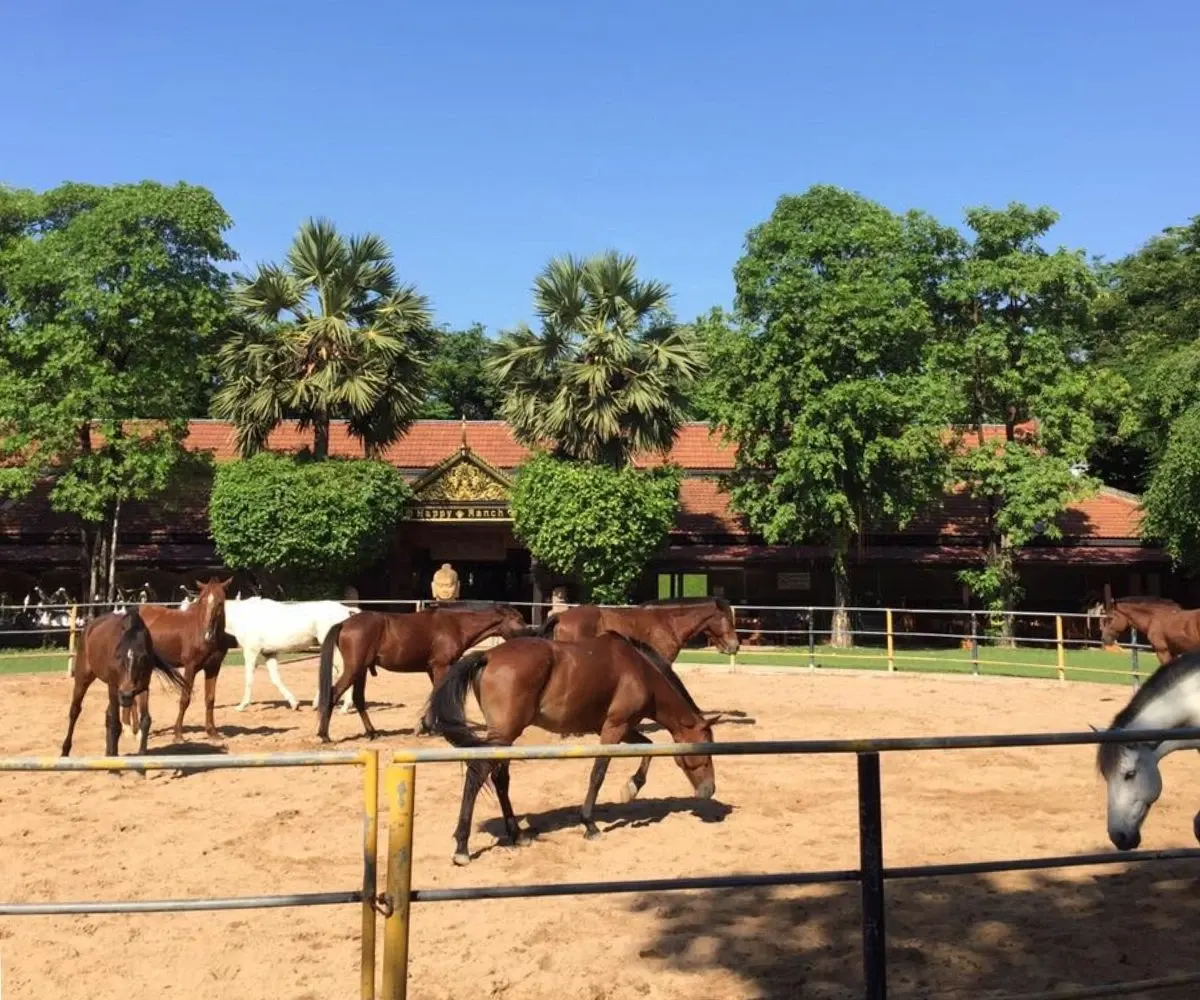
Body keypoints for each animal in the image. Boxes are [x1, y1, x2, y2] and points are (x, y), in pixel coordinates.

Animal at [60, 606, 185, 756]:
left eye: (142, 659)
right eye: (118, 656)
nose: (126, 695)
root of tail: (89, 628)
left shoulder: (142, 687)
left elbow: (145, 720)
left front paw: (141, 754)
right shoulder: (114, 687)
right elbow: (116, 724)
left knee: (108, 715)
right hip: (83, 678)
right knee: (75, 711)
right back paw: (65, 751)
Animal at [138, 577, 235, 742]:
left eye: (220, 602)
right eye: (202, 601)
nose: (208, 634)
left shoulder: (213, 668)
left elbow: (210, 699)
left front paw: (212, 732)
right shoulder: (191, 667)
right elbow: (185, 699)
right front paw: (178, 734)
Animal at [315, 601, 529, 742]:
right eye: (518, 619)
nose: (531, 634)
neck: (456, 625)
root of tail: (344, 623)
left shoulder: (432, 669)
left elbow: (434, 694)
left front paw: (425, 726)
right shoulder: (441, 666)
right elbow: (437, 693)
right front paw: (431, 728)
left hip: (361, 671)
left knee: (358, 699)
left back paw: (372, 732)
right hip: (354, 669)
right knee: (334, 693)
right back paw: (324, 735)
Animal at [423, 632, 724, 866]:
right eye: (705, 750)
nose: (709, 790)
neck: (640, 671)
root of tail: (487, 655)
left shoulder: (622, 728)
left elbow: (647, 748)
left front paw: (631, 787)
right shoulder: (614, 728)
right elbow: (598, 774)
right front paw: (590, 824)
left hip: (504, 738)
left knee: (500, 778)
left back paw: (517, 835)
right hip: (504, 734)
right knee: (477, 773)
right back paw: (462, 847)